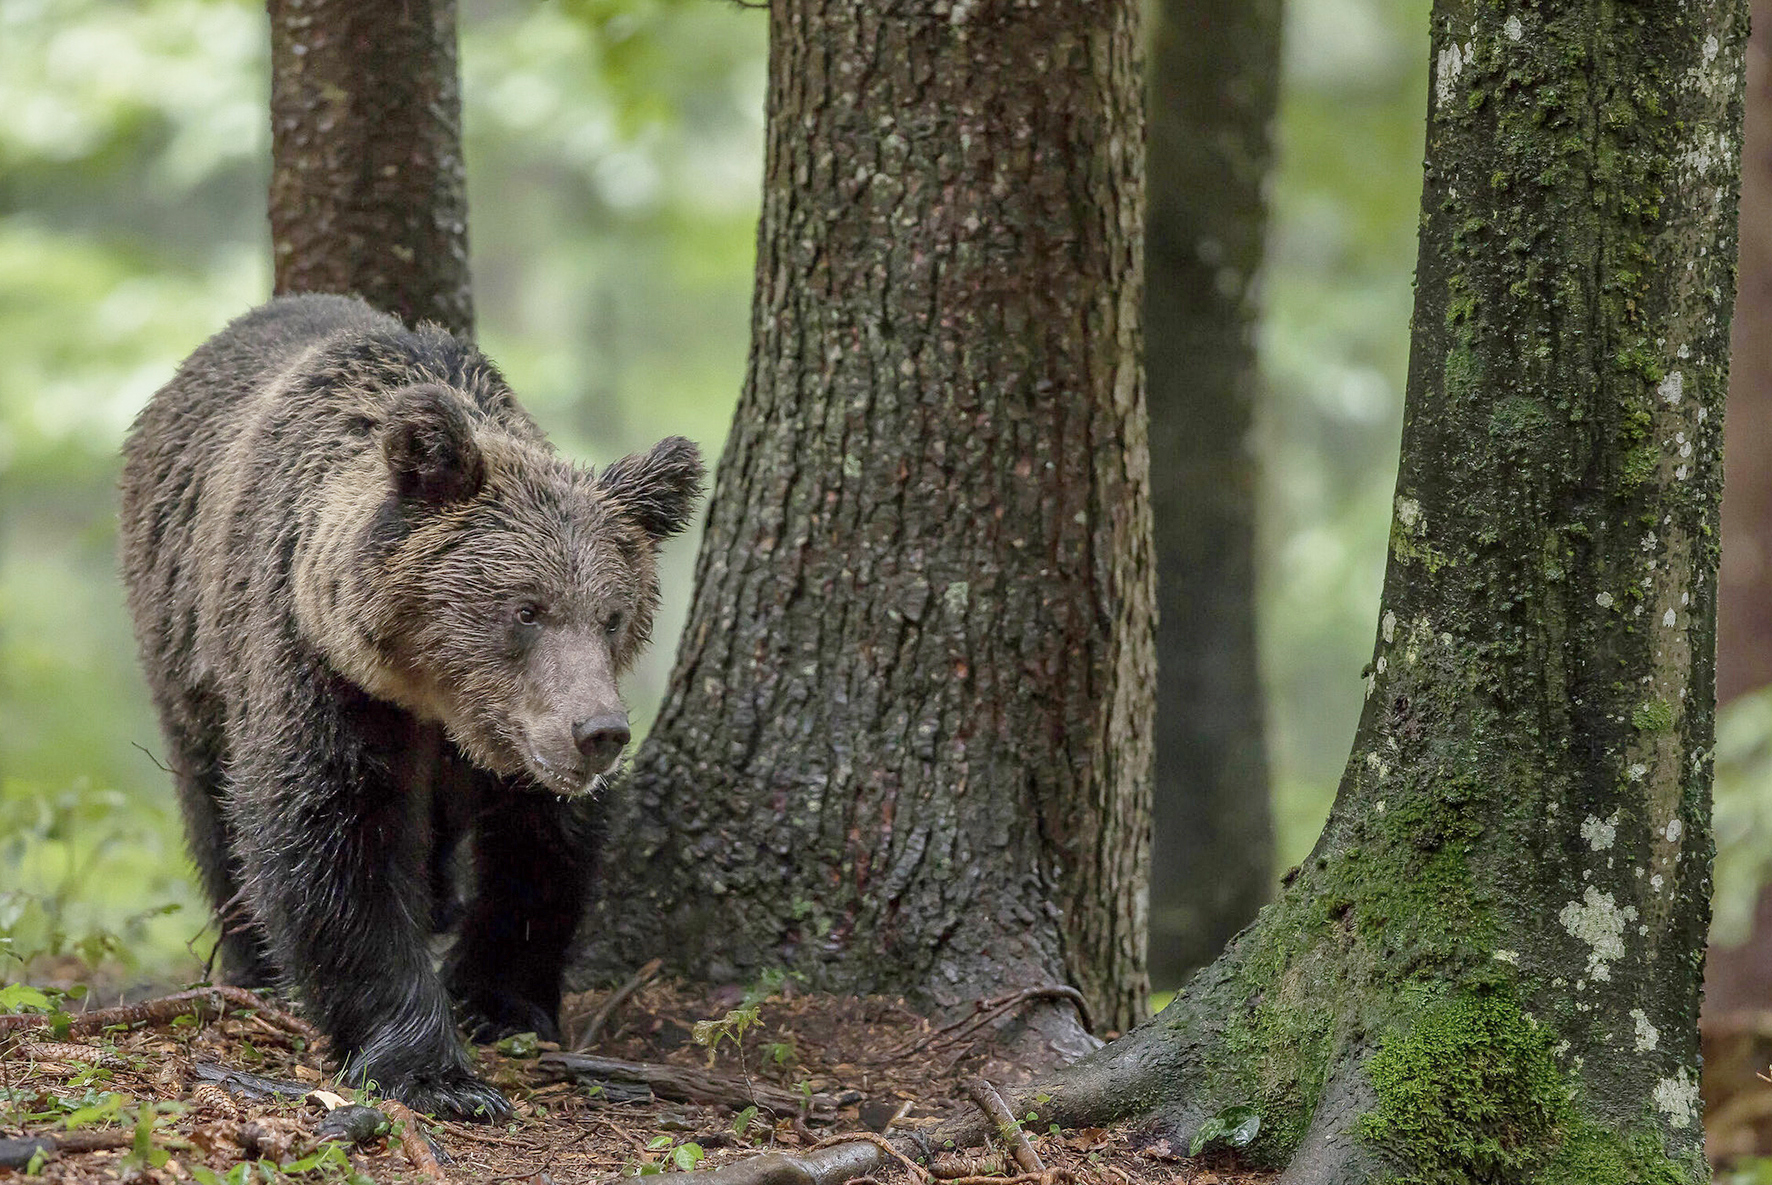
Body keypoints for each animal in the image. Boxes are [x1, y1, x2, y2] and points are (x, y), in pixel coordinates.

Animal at [112, 290, 698, 1112]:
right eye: (526, 608)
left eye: (613, 614)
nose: (599, 732)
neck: (434, 699)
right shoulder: (320, 670)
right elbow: (332, 841)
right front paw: (432, 1070)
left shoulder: (520, 735)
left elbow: (540, 845)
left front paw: (498, 1001)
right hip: (183, 640)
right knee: (211, 799)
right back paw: (252, 960)